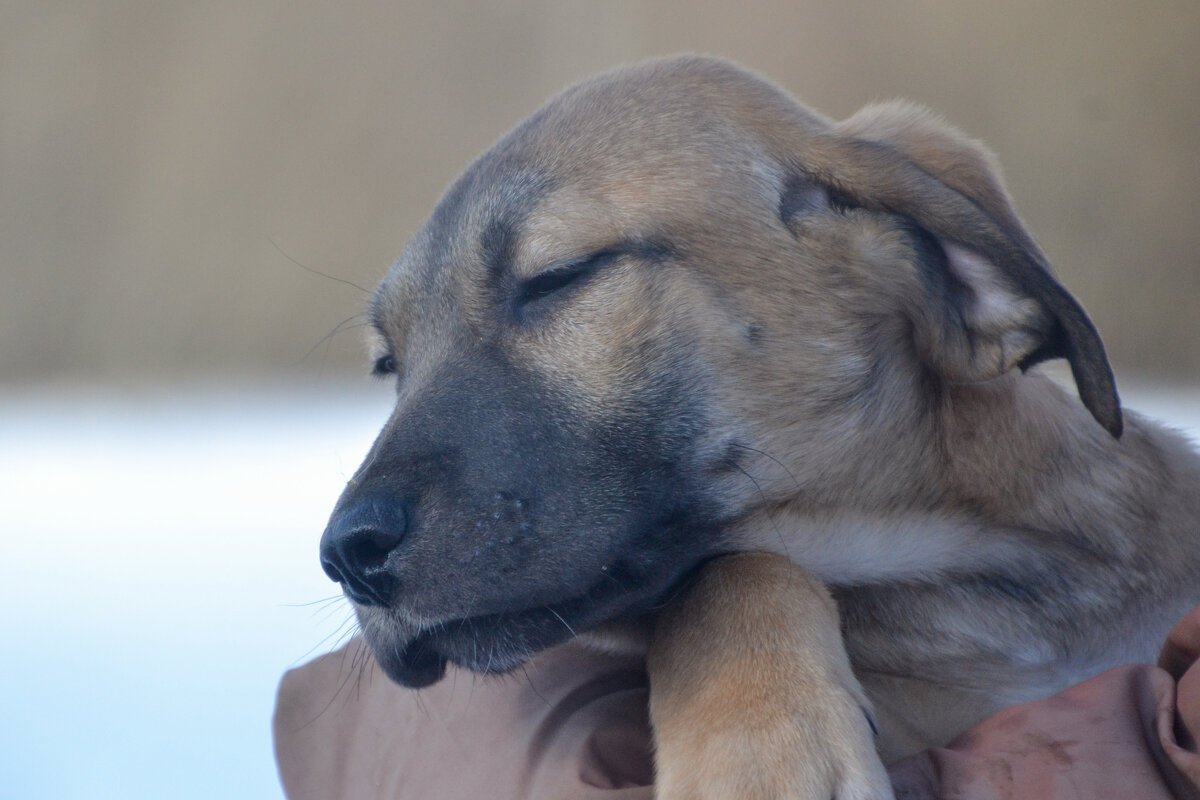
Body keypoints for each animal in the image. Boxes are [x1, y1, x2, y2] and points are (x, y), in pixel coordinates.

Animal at [316, 54, 1200, 796]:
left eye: (558, 277)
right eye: (390, 363)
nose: (348, 555)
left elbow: (720, 571)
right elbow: (726, 573)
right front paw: (758, 755)